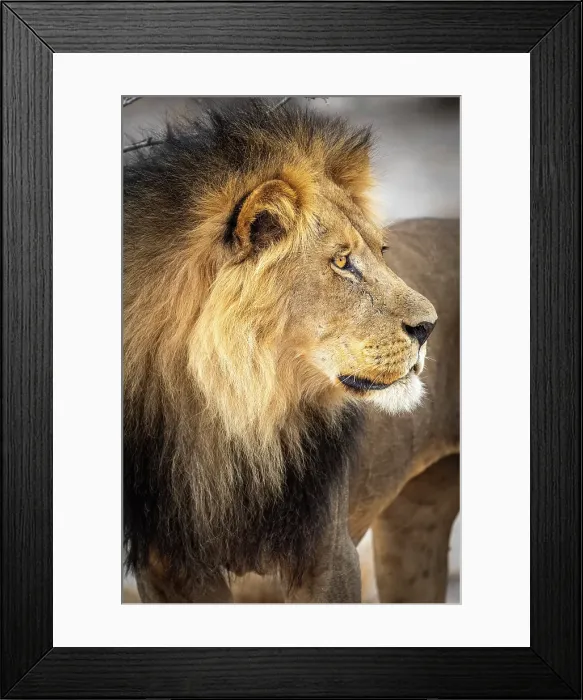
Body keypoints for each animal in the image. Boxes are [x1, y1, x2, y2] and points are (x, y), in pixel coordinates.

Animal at [124, 100, 459, 603]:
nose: (429, 326)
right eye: (341, 262)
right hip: (412, 525)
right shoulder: (168, 571)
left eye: (383, 251)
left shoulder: (328, 557)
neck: (230, 417)